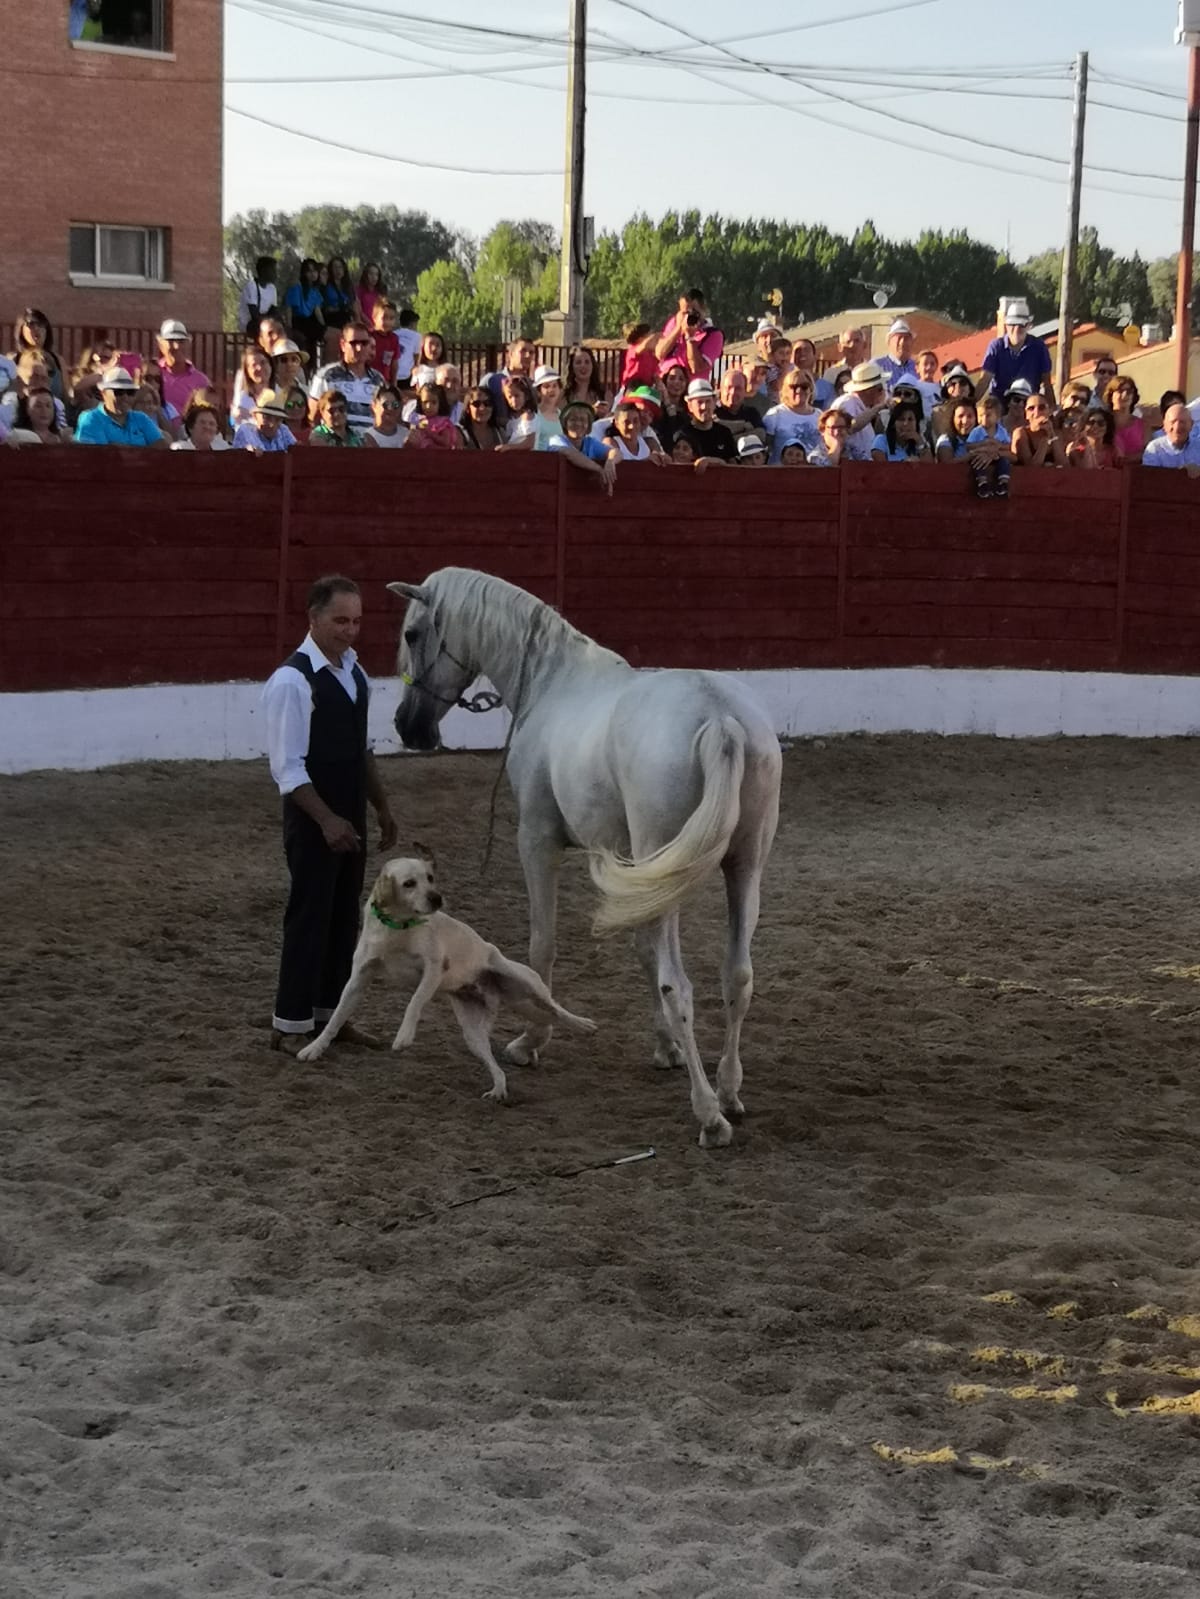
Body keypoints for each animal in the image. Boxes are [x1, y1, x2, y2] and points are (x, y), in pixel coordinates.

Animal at [299, 850, 598, 1100]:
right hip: (475, 1032)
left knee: (556, 1009)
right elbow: (335, 1018)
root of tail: (495, 993)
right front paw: (314, 1048)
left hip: (527, 985)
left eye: (430, 878)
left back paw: (584, 1024)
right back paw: (498, 1089)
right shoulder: (357, 982)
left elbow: (414, 1003)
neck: (397, 927)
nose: (437, 898)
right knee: (499, 1060)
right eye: (409, 883)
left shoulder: (433, 969)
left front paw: (404, 1036)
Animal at [390, 569, 784, 1144]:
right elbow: (643, 951)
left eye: (414, 633)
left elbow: (542, 948)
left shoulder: (537, 841)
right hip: (743, 869)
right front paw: (663, 1047)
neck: (552, 682)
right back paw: (729, 1092)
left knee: (681, 986)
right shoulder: (639, 876)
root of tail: (721, 719)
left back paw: (708, 1112)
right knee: (737, 976)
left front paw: (531, 1042)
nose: (409, 728)